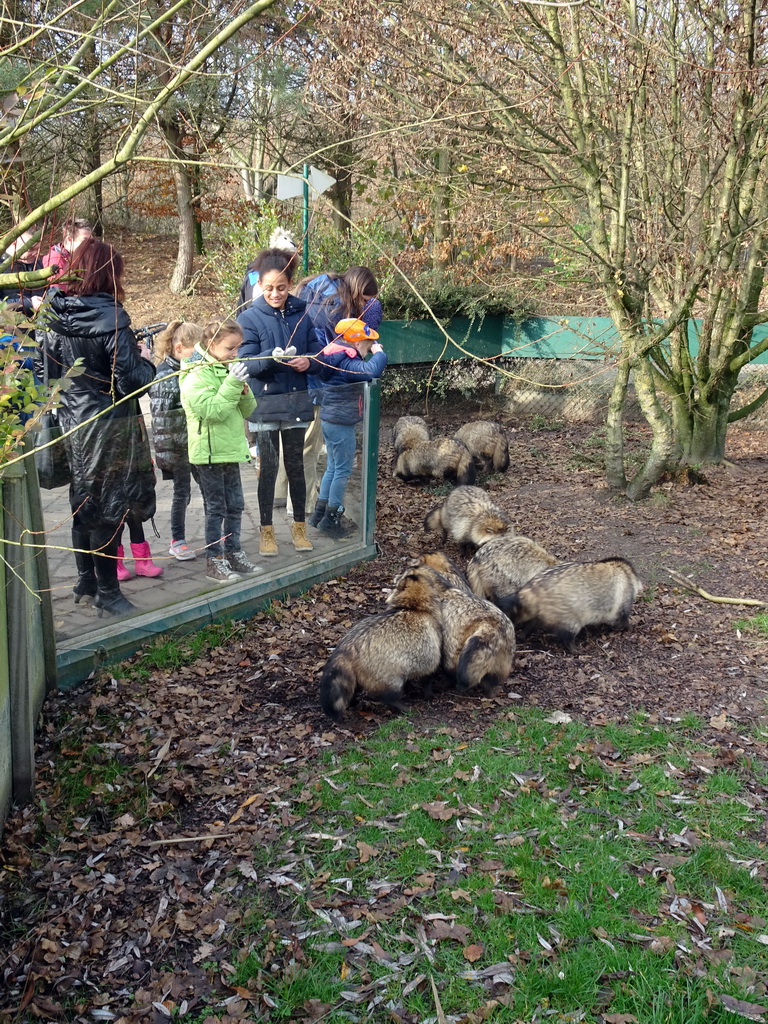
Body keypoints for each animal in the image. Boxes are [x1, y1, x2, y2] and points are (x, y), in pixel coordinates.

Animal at [319, 569, 442, 720]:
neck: (414, 608)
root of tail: (346, 649)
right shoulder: (432, 642)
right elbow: (429, 673)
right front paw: (429, 693)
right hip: (386, 674)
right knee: (389, 695)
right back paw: (401, 706)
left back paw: (353, 700)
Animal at [501, 557, 647, 651]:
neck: (624, 570)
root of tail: (530, 590)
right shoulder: (624, 596)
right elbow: (620, 617)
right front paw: (630, 626)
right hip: (567, 614)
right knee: (568, 633)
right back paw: (573, 648)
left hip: (544, 611)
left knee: (533, 622)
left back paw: (524, 634)